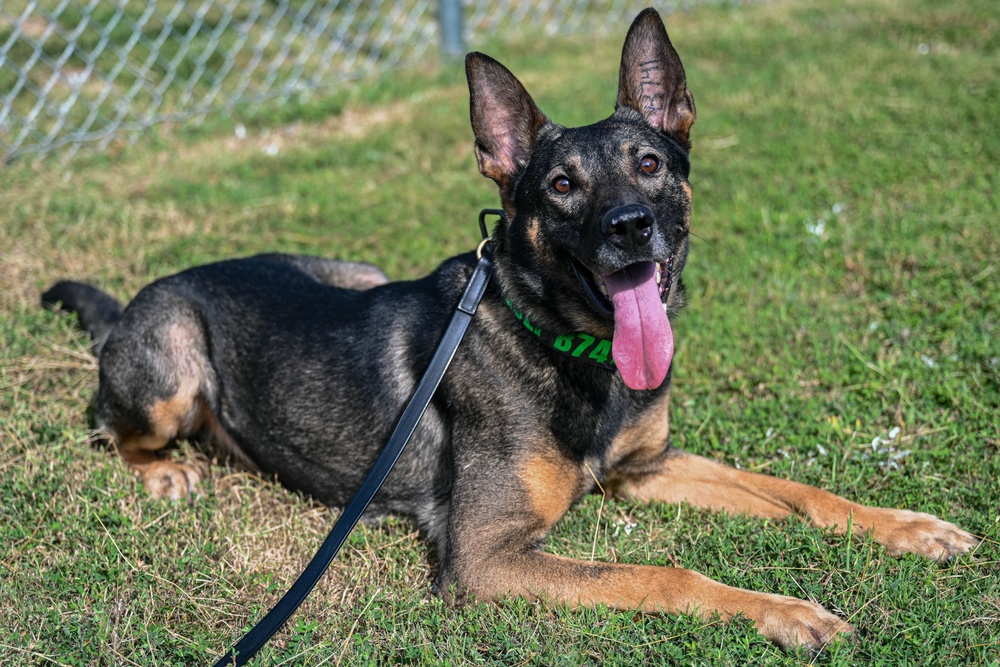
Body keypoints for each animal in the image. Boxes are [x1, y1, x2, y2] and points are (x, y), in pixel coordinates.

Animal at [43, 7, 972, 648]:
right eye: (561, 185)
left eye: (649, 164)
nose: (630, 226)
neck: (564, 346)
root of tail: (144, 295)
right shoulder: (487, 558)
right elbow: (662, 571)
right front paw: (782, 610)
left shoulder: (647, 467)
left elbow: (795, 490)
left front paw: (908, 527)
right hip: (171, 366)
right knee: (114, 430)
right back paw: (165, 472)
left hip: (352, 272)